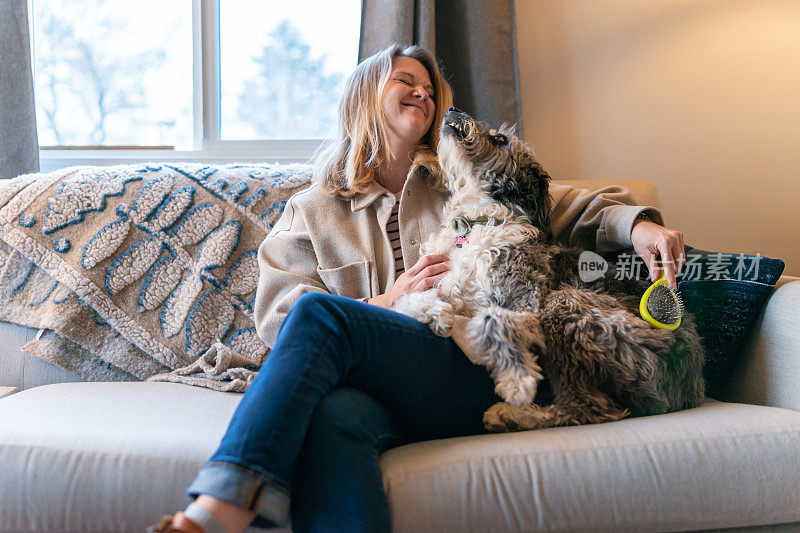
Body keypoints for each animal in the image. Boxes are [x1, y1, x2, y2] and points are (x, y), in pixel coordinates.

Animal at [396, 106, 704, 430]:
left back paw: (511, 414)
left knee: (589, 407)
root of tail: (691, 387)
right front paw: (432, 310)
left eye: (499, 139)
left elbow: (493, 319)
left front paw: (516, 382)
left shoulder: (525, 301)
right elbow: (406, 297)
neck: (476, 223)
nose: (454, 108)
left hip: (564, 304)